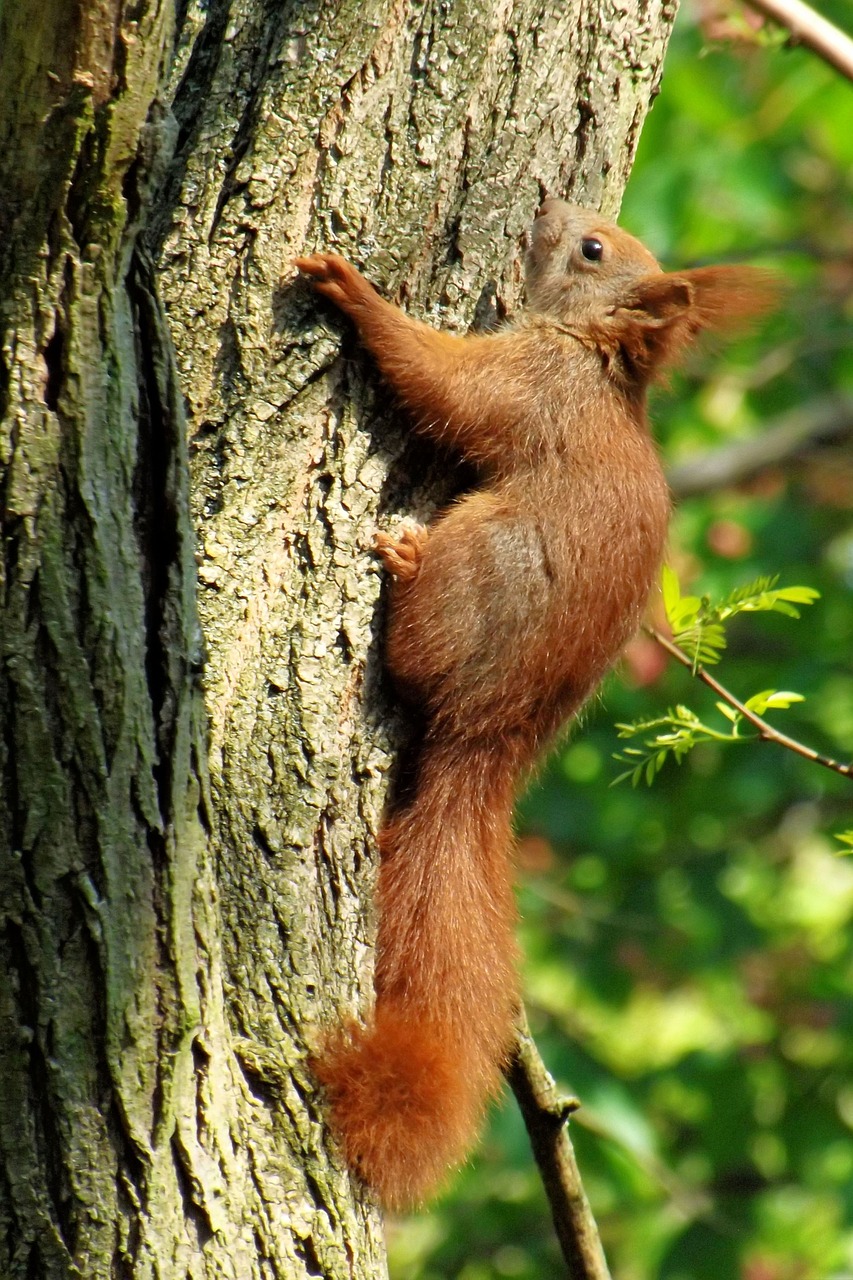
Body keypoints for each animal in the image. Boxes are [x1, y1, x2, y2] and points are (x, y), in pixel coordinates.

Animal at [294, 197, 768, 1208]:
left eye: (591, 249)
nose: (548, 205)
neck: (591, 356)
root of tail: (489, 741)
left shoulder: (521, 382)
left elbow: (440, 379)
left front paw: (354, 293)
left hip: (475, 572)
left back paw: (402, 563)